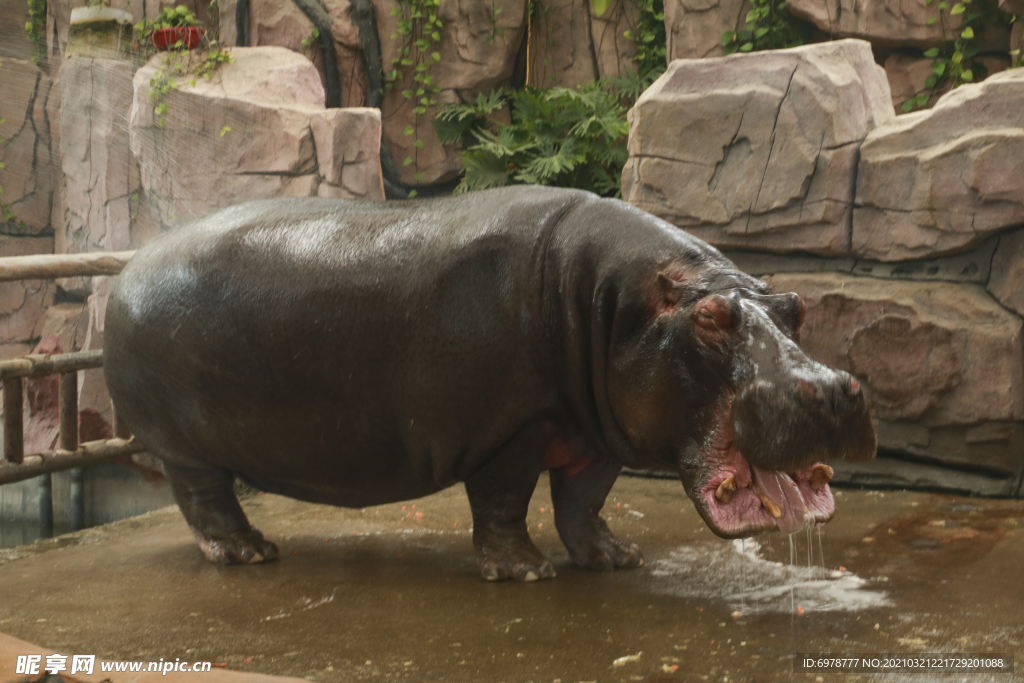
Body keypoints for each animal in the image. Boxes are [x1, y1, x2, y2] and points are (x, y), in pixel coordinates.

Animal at [101, 185, 872, 581]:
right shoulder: (516, 429)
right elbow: (504, 501)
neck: (612, 304)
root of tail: (131, 264)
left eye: (796, 307)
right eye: (710, 320)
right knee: (204, 498)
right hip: (182, 442)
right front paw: (526, 572)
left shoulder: (596, 431)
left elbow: (584, 501)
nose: (835, 388)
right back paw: (250, 553)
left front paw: (614, 558)